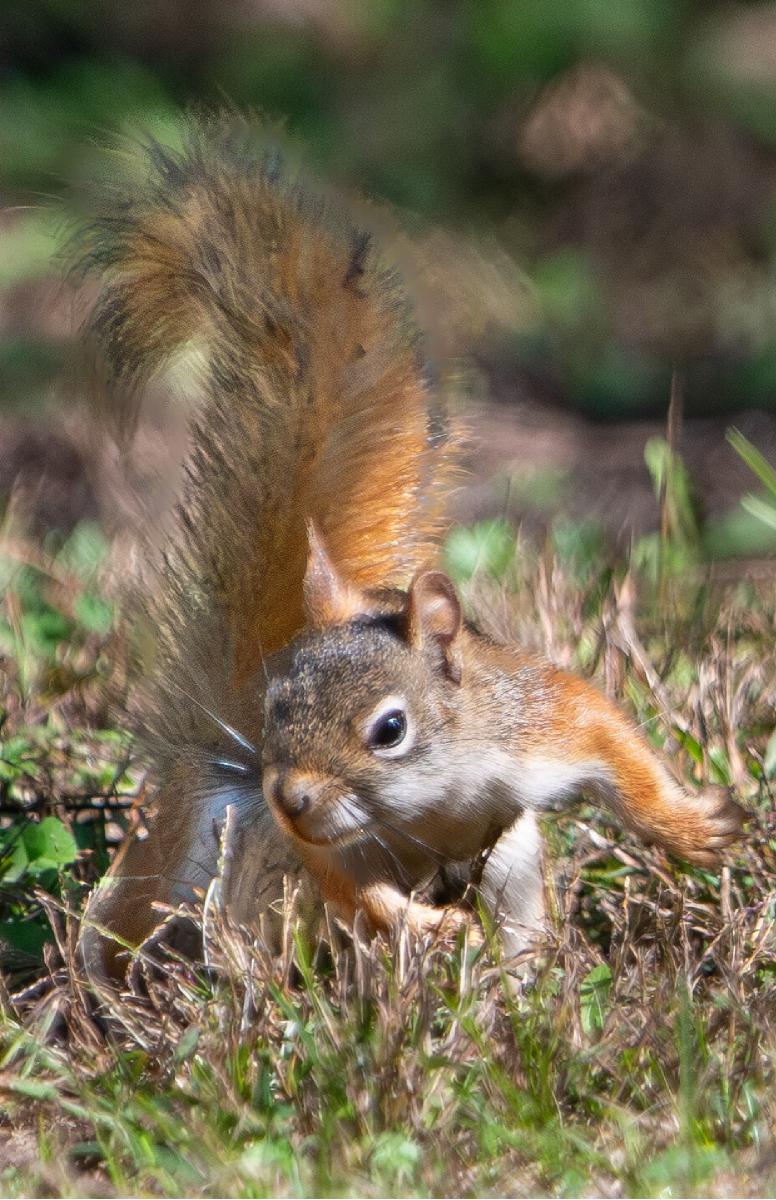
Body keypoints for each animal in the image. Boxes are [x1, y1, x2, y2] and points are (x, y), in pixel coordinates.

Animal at [76, 116, 743, 982]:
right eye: (277, 707)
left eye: (389, 729)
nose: (290, 796)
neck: (431, 796)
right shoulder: (320, 841)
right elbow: (350, 887)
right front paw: (426, 930)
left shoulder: (536, 719)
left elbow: (609, 733)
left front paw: (692, 829)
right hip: (212, 856)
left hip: (509, 863)